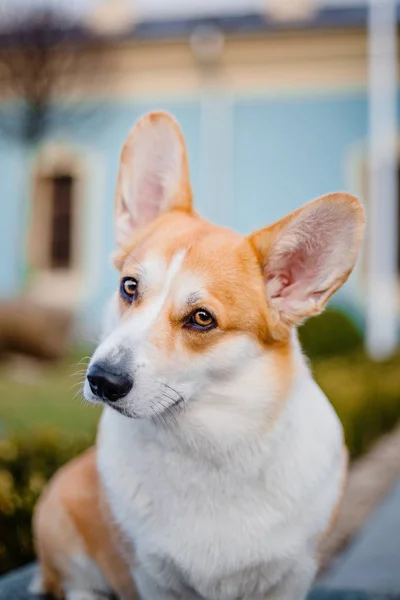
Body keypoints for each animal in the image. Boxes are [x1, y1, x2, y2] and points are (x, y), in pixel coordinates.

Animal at [32, 112, 366, 600]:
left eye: (202, 318)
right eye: (129, 287)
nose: (102, 380)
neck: (206, 447)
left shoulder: (292, 574)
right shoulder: (151, 576)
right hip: (60, 516)